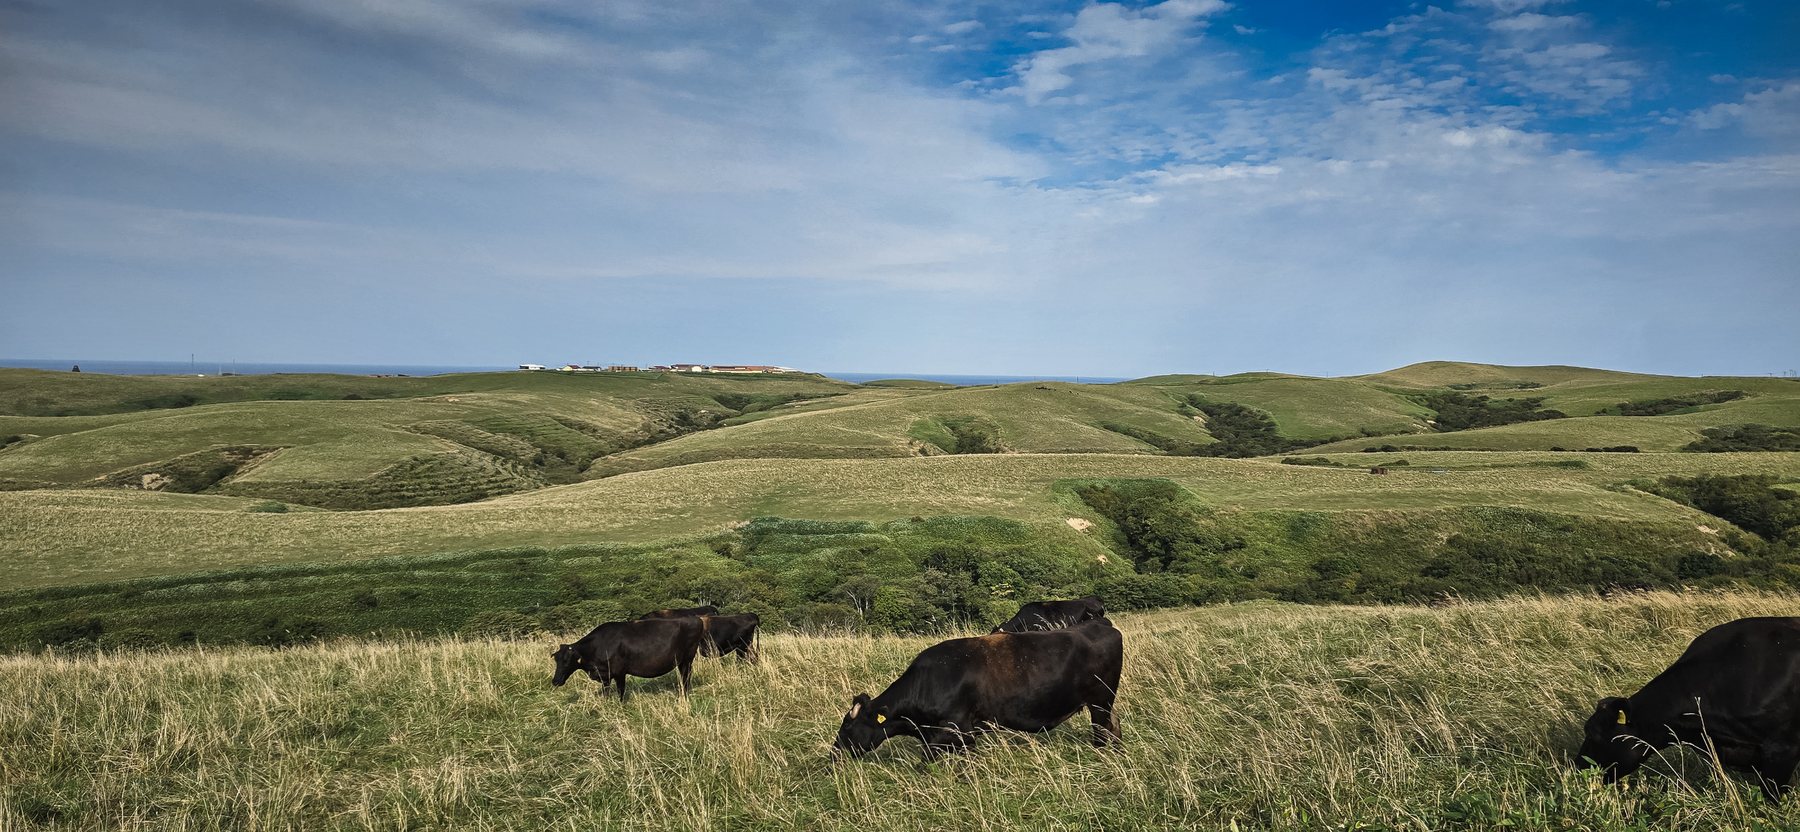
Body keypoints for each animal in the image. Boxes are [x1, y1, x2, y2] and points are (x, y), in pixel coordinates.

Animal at [550, 617, 706, 701]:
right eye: (556, 660)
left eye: (566, 661)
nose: (555, 681)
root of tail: (696, 619)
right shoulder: (605, 675)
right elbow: (606, 692)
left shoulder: (619, 672)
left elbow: (620, 691)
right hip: (681, 661)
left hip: (687, 659)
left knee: (686, 677)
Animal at [834, 616, 1123, 760]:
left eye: (847, 726)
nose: (833, 754)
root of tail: (1100, 624)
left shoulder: (958, 728)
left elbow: (927, 758)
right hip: (1105, 704)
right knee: (1115, 726)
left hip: (1099, 703)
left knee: (1101, 732)